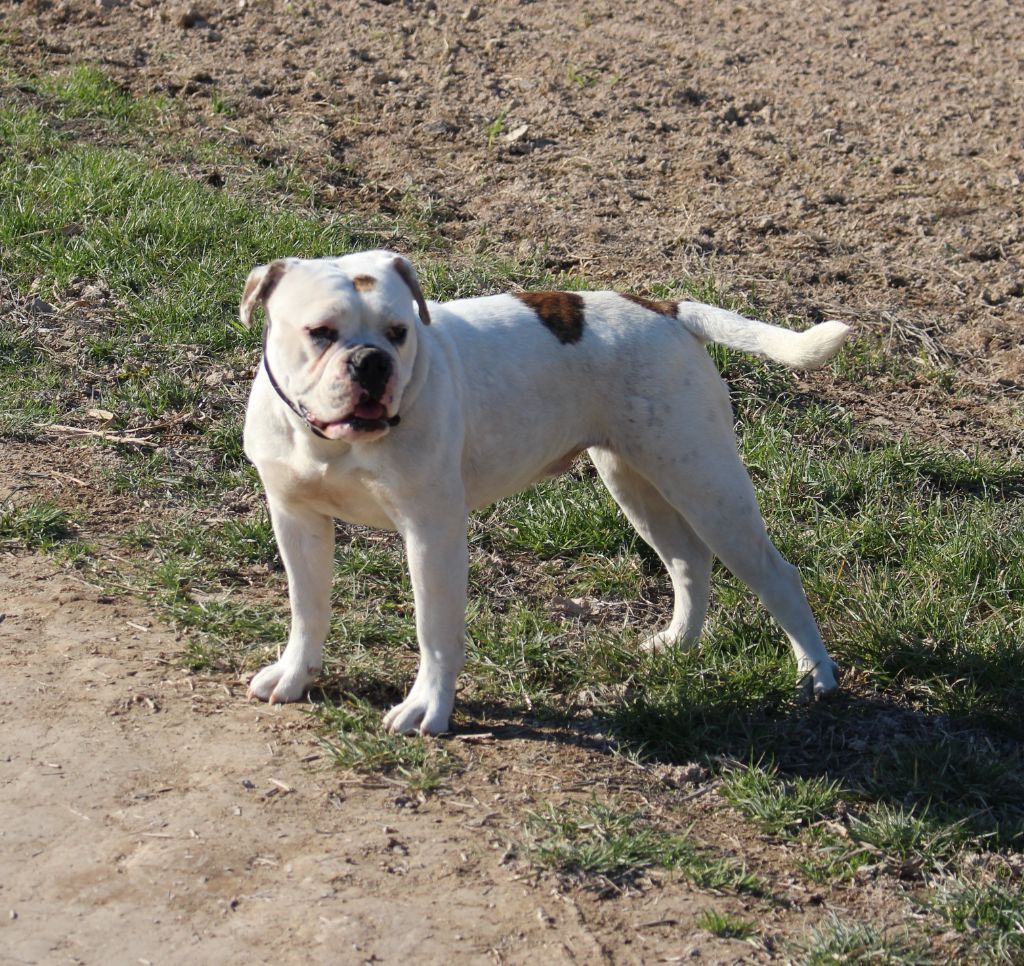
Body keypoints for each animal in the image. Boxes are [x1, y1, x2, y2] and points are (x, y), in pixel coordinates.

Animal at [237, 253, 847, 737]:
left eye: (399, 331)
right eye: (320, 332)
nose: (372, 362)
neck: (332, 443)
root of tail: (665, 310)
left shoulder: (431, 533)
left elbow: (434, 629)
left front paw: (426, 707)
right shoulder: (296, 520)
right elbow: (307, 606)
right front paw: (296, 674)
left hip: (709, 487)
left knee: (776, 576)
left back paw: (815, 674)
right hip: (637, 483)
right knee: (688, 562)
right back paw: (678, 642)